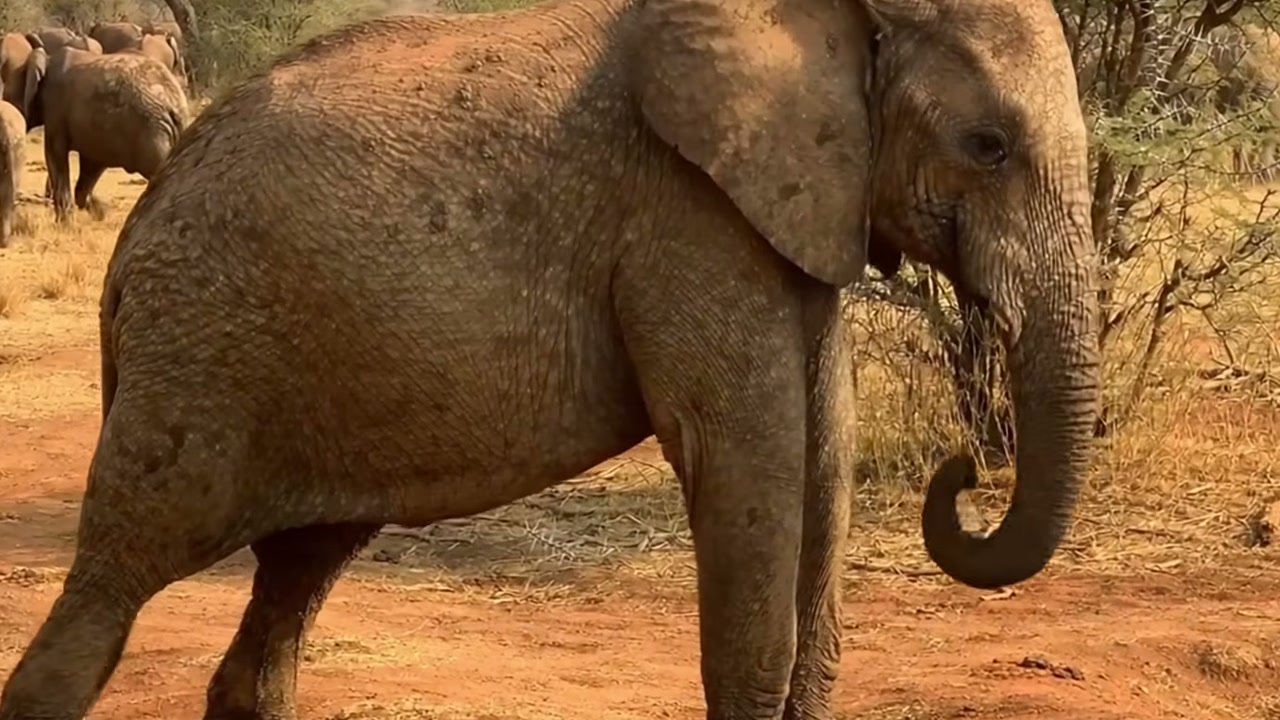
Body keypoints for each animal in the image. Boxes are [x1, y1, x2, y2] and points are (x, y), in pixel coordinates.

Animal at [21, 46, 189, 222]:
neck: (47, 58)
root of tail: (175, 105)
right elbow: (92, 162)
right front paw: (101, 213)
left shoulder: (55, 106)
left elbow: (55, 153)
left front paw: (64, 223)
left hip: (152, 129)